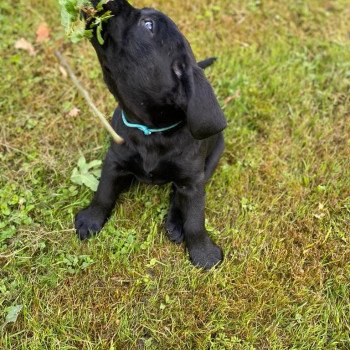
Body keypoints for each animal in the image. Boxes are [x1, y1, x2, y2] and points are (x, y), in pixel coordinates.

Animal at [75, 0, 227, 270]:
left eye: (148, 25)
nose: (114, 2)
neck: (150, 131)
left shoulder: (193, 181)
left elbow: (195, 219)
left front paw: (203, 253)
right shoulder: (114, 161)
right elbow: (104, 192)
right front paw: (92, 219)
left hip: (213, 158)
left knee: (178, 197)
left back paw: (175, 223)